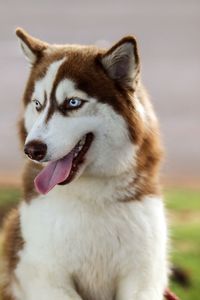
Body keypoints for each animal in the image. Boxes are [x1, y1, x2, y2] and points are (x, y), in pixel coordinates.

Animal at [0, 28, 168, 300]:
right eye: (37, 104)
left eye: (73, 103)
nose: (32, 149)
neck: (91, 197)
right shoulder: (45, 276)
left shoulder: (142, 277)